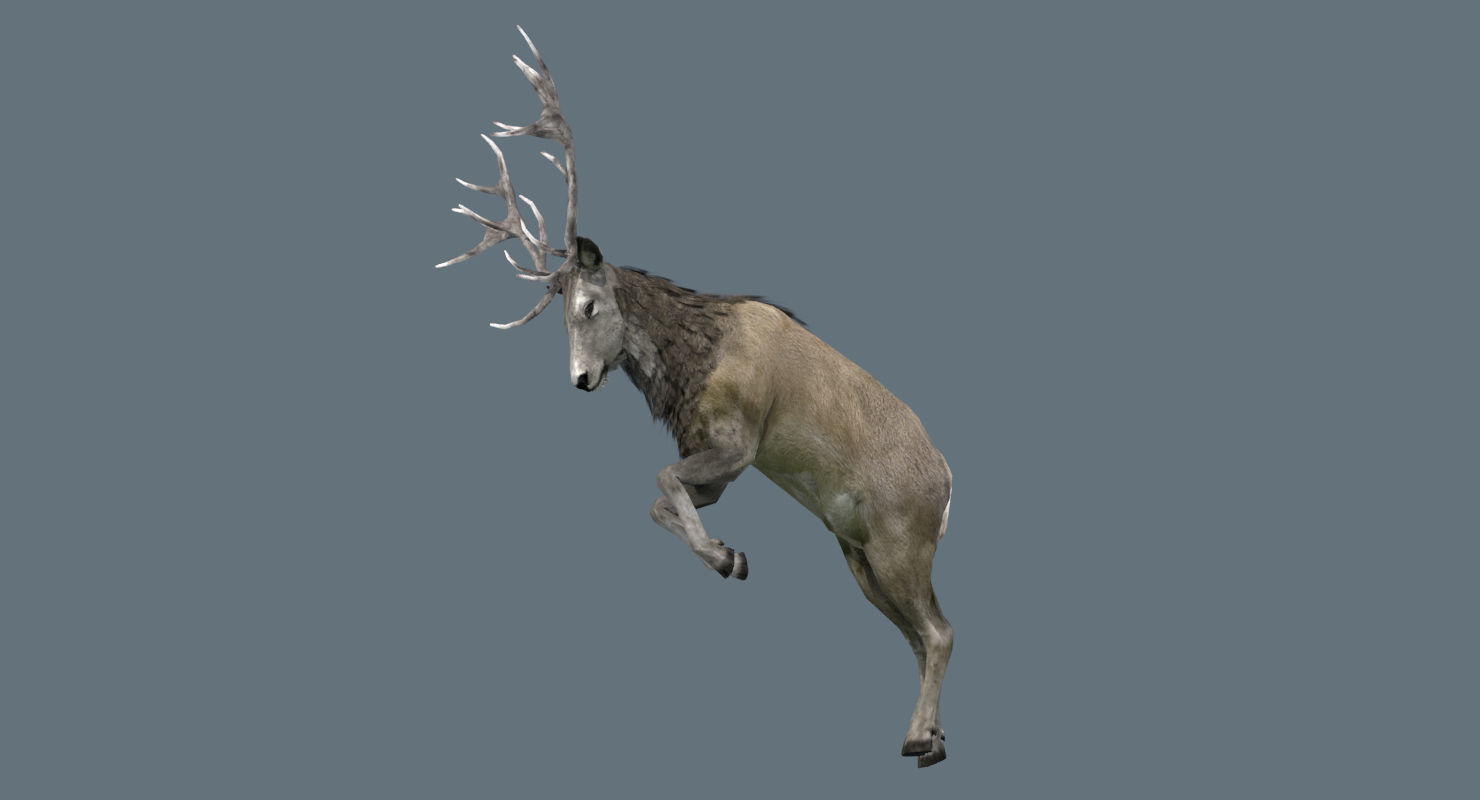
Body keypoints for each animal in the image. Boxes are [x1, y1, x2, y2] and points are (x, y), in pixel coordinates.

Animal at [435, 28, 954, 767]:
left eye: (589, 305)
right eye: (560, 314)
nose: (580, 380)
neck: (687, 364)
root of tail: (948, 486)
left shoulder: (739, 441)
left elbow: (659, 480)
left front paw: (728, 559)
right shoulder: (712, 464)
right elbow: (659, 500)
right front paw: (728, 554)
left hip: (899, 537)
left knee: (938, 630)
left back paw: (918, 741)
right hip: (859, 551)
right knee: (918, 634)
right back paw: (932, 734)